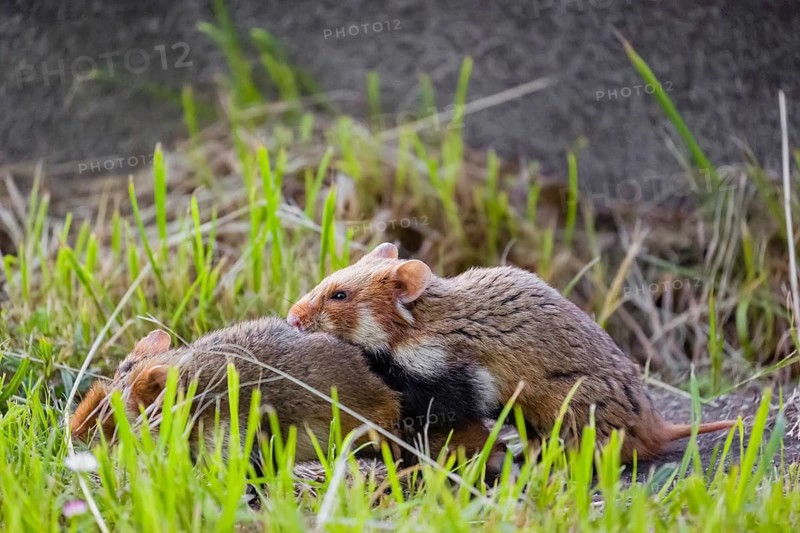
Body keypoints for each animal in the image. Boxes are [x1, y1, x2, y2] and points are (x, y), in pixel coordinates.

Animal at [287, 243, 736, 462]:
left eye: (339, 295)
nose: (291, 318)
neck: (418, 329)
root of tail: (660, 426)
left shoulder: (452, 381)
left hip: (565, 409)